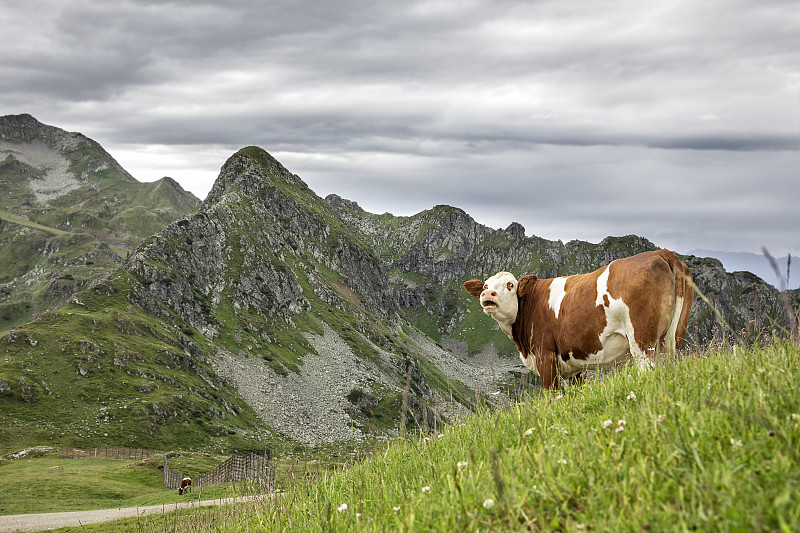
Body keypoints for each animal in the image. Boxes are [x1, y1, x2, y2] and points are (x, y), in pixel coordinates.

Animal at [462, 247, 692, 388]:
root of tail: (661, 252)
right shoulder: (574, 368)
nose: (488, 294)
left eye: (510, 285)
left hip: (642, 341)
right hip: (674, 337)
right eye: (484, 285)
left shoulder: (545, 356)